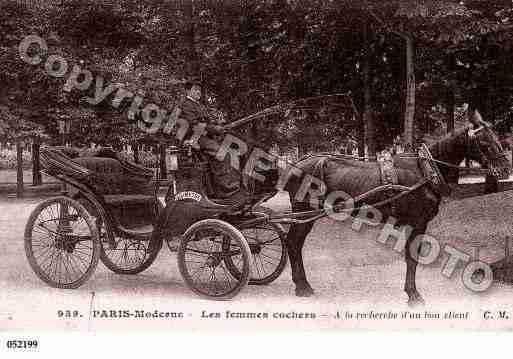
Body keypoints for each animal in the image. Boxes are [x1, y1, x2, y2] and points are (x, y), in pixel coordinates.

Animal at [282, 119, 510, 306]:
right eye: (484, 142)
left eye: (496, 137)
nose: (505, 168)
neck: (424, 170)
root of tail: (295, 165)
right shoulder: (418, 222)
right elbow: (412, 258)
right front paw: (414, 295)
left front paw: (411, 292)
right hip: (304, 212)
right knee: (293, 243)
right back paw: (302, 286)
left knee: (295, 243)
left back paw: (302, 284)